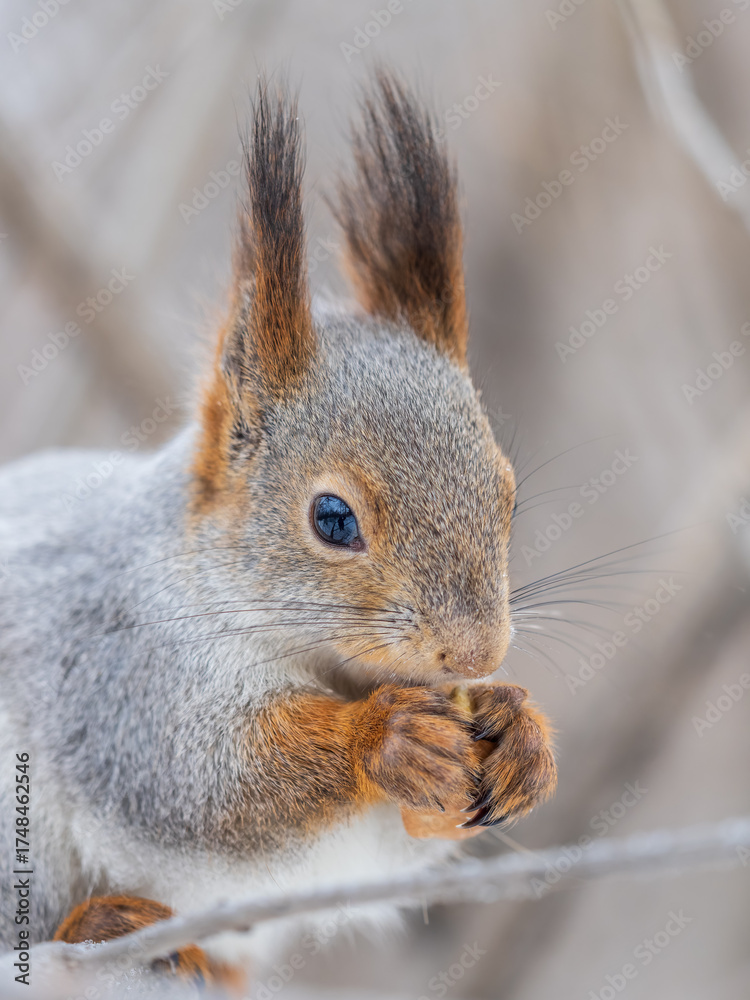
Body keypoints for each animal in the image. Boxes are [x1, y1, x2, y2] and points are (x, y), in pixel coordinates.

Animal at [0, 71, 556, 988]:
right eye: (332, 519)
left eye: (507, 495)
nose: (476, 653)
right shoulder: (124, 680)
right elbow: (212, 783)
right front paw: (384, 736)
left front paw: (521, 729)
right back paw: (106, 922)